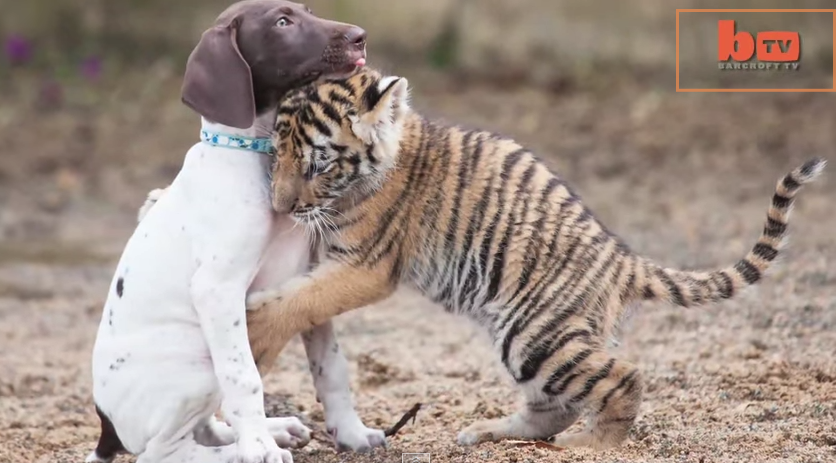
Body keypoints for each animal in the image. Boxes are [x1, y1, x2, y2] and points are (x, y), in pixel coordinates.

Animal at [87, 3, 378, 463]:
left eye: (308, 10)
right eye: (282, 22)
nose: (359, 36)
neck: (259, 157)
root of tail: (107, 426)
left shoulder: (309, 280)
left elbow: (331, 365)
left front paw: (351, 432)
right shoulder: (218, 290)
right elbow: (245, 379)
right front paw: (259, 449)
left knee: (204, 428)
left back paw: (272, 430)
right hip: (197, 365)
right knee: (164, 452)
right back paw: (244, 449)